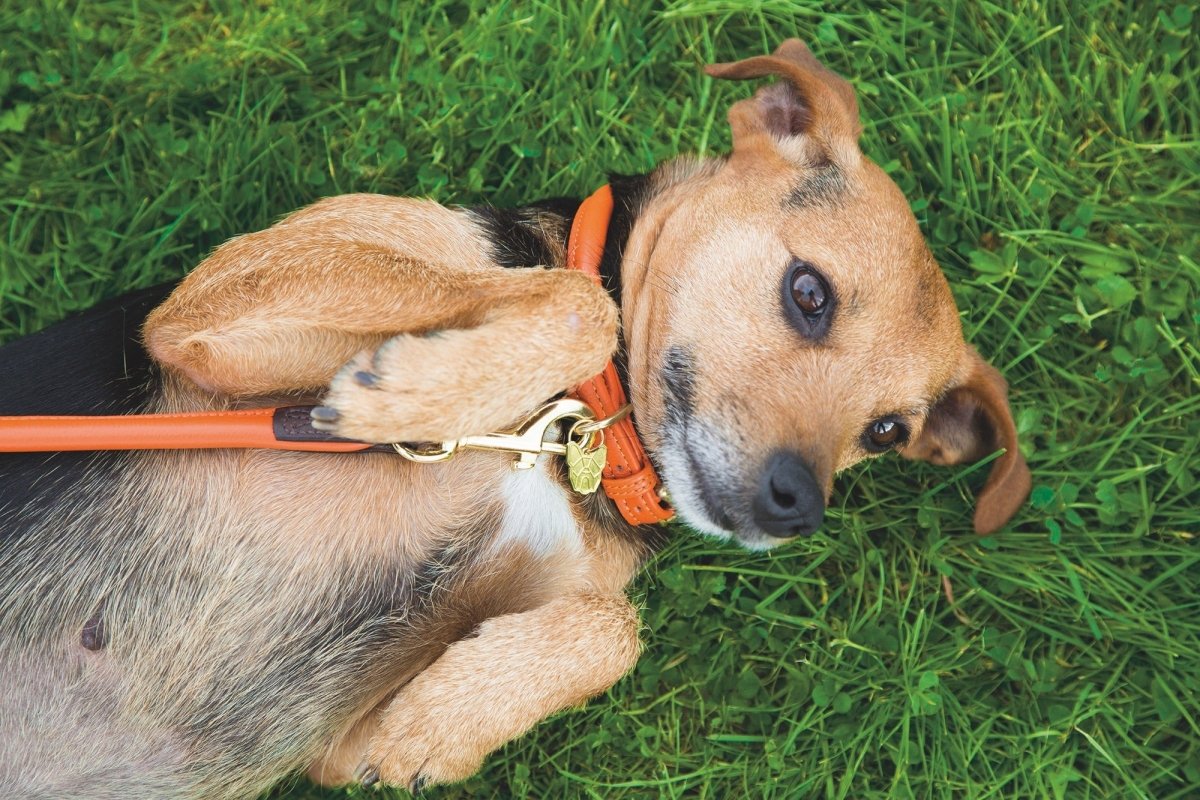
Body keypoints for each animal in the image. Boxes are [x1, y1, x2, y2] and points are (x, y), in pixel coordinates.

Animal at [0, 40, 1032, 796]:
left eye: (887, 432)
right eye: (808, 293)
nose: (796, 505)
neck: (579, 435)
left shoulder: (334, 743)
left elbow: (612, 630)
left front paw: (439, 722)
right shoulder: (208, 314)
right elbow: (580, 297)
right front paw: (411, 391)